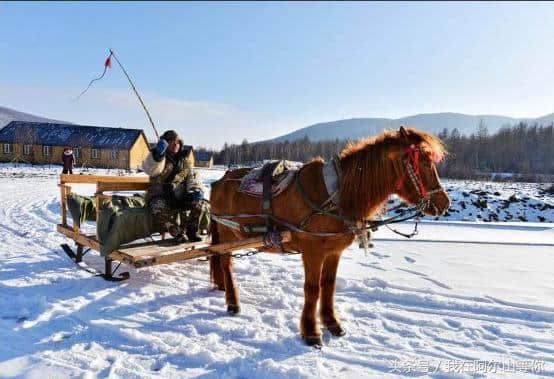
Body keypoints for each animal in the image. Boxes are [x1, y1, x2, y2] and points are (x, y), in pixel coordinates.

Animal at [207, 127, 448, 348]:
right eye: (423, 163)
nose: (445, 203)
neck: (336, 195)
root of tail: (218, 182)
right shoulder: (313, 252)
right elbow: (312, 289)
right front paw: (311, 332)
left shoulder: (333, 251)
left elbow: (329, 285)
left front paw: (332, 323)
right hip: (226, 231)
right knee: (226, 263)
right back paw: (233, 302)